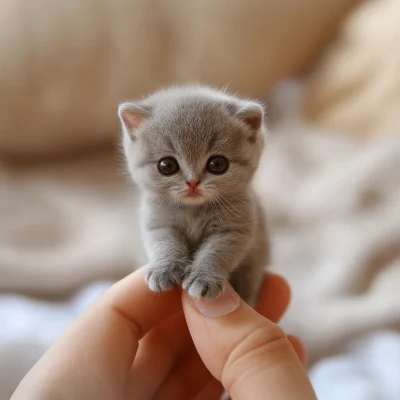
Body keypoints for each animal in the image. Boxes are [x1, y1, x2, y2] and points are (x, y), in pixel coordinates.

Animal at [118, 84, 268, 304]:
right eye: (167, 165)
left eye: (217, 164)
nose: (193, 182)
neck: (194, 211)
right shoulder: (158, 224)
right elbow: (165, 244)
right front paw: (164, 270)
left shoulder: (234, 229)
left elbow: (216, 252)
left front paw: (203, 278)